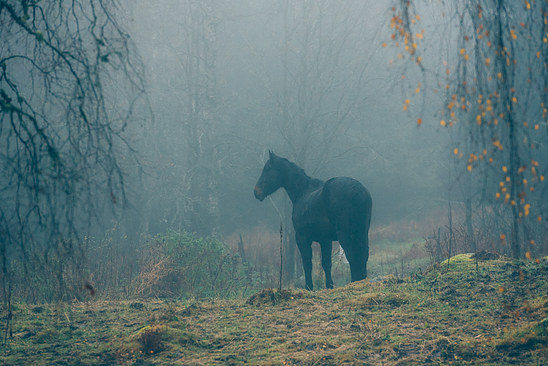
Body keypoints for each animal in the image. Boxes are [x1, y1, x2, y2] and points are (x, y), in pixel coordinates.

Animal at [254, 150, 372, 290]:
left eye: (268, 168)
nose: (256, 192)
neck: (302, 192)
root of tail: (359, 190)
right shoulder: (325, 240)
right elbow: (326, 263)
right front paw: (329, 286)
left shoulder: (302, 238)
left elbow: (307, 263)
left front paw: (309, 286)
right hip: (362, 233)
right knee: (363, 256)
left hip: (346, 235)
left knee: (353, 257)